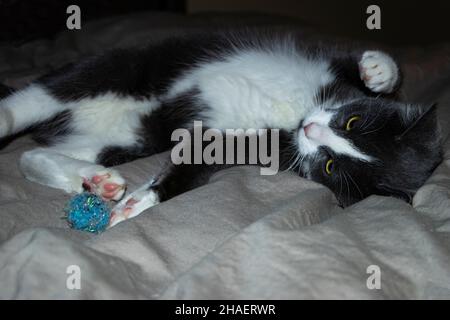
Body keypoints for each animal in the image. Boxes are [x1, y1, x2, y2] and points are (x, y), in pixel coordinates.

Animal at [0, 31, 442, 226]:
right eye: (352, 121)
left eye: (331, 167)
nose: (310, 131)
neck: (298, 114)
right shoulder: (327, 71)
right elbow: (355, 66)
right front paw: (378, 71)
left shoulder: (243, 142)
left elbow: (193, 166)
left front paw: (140, 202)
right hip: (122, 67)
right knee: (37, 96)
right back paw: (10, 114)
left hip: (124, 137)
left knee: (30, 155)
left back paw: (97, 181)